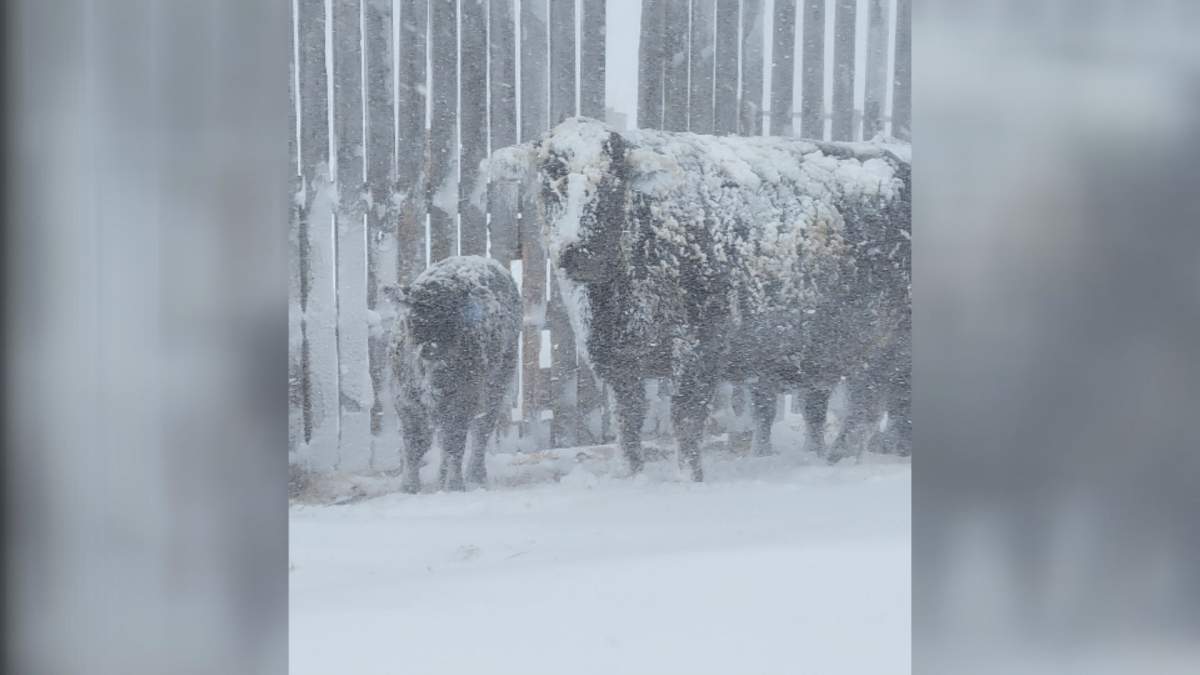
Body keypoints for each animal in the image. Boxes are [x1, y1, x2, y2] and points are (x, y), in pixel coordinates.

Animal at [387, 255, 522, 493]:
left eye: (453, 317)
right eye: (413, 318)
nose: (430, 349)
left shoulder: (462, 401)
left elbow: (455, 442)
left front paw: (455, 484)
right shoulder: (405, 401)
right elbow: (415, 443)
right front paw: (409, 486)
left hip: (497, 387)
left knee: (481, 432)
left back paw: (475, 475)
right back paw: (442, 477)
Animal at [486, 117, 910, 480]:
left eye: (613, 179)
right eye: (549, 178)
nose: (580, 253)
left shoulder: (696, 354)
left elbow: (686, 422)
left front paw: (688, 479)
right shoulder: (617, 363)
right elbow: (628, 425)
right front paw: (629, 475)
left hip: (884, 346)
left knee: (868, 408)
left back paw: (839, 460)